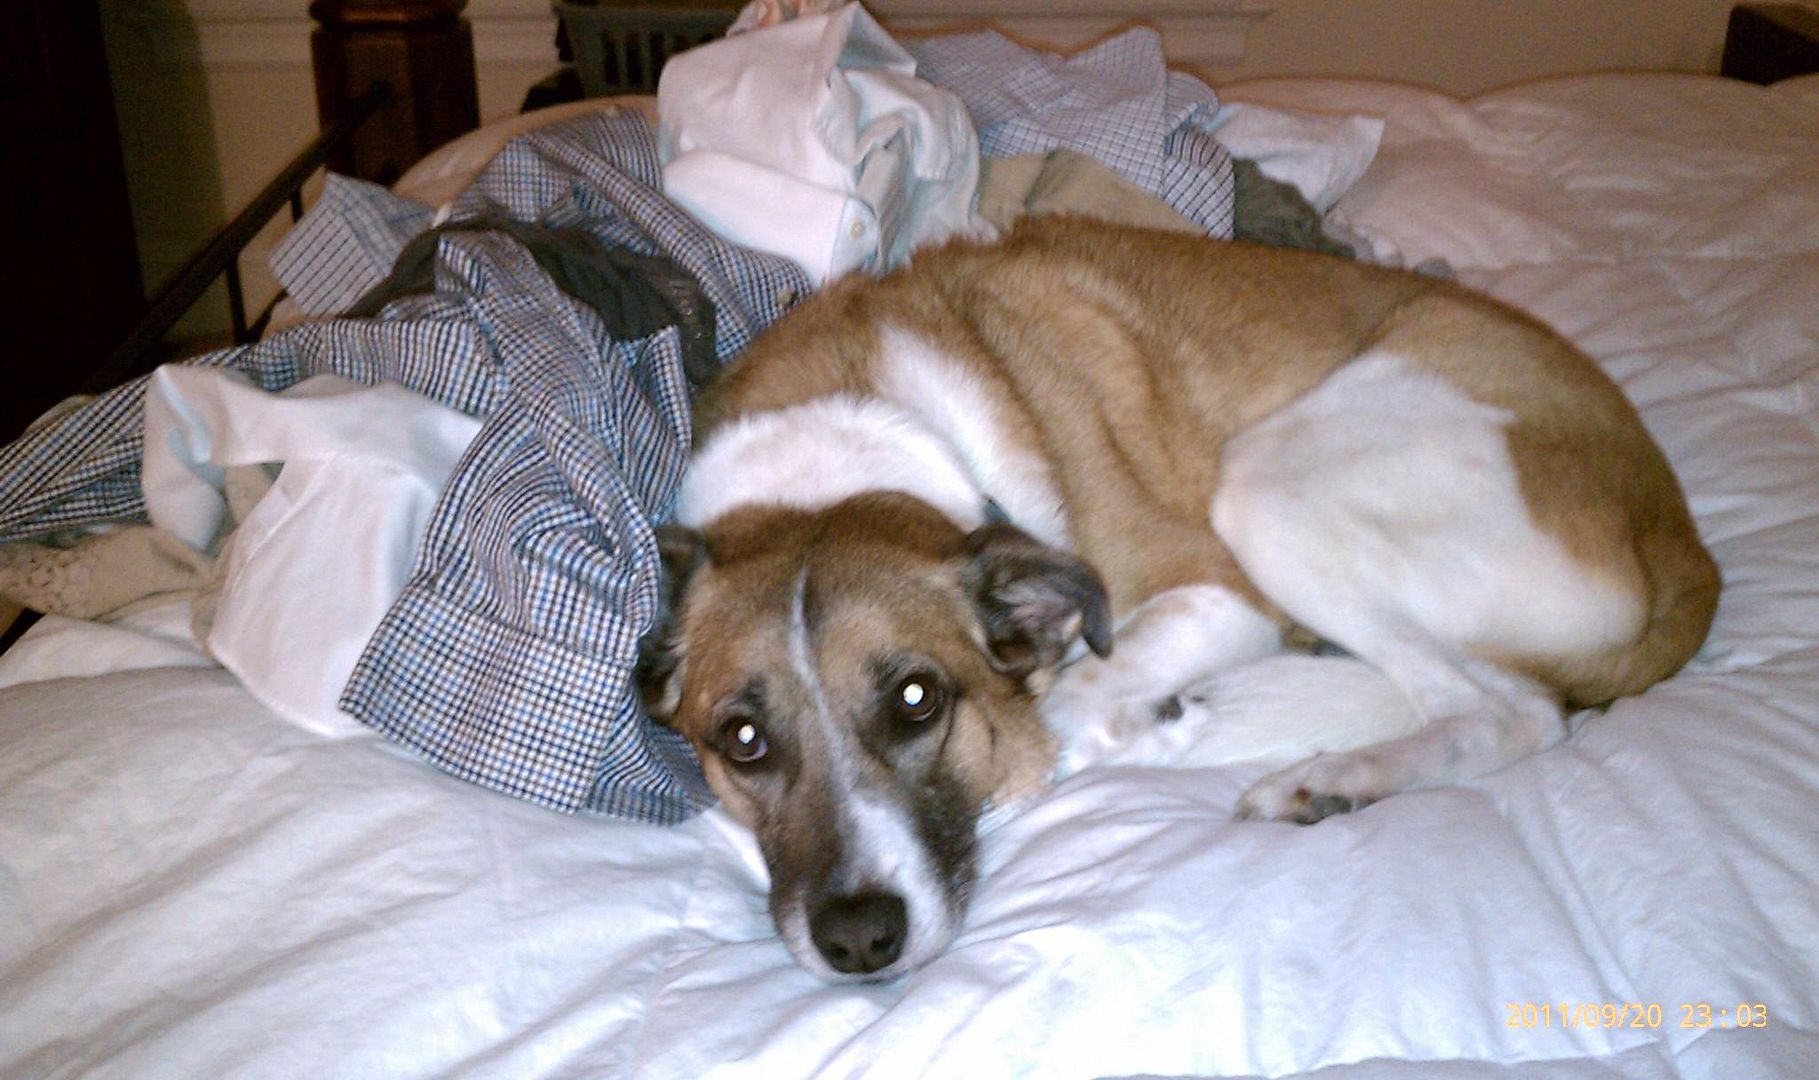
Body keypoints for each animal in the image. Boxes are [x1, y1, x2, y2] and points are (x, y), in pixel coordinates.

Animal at [640, 216, 1717, 974]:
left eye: (916, 701)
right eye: (743, 741)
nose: (859, 942)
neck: (832, 469)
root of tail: (1684, 549)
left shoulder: (1215, 589)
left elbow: (1063, 716)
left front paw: (1144, 732)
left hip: (1270, 488)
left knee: (1510, 715)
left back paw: (1335, 778)